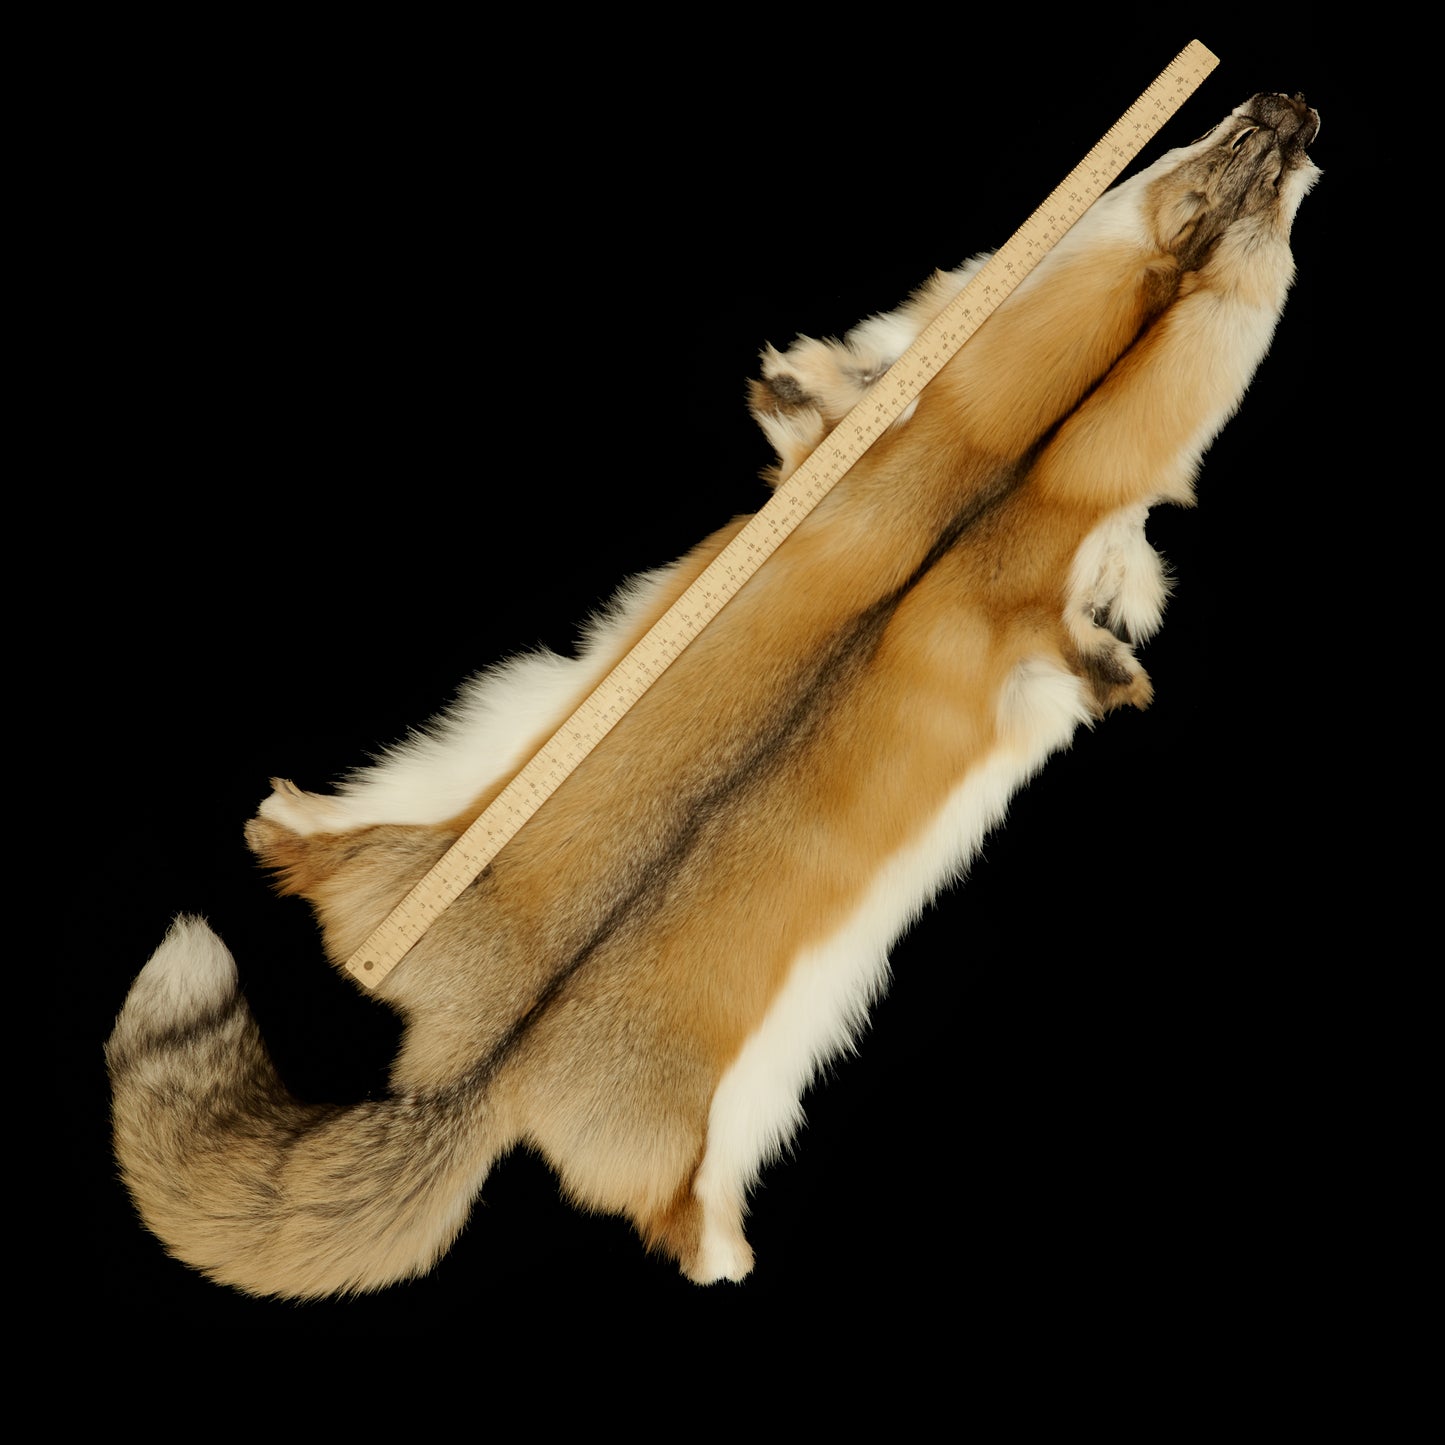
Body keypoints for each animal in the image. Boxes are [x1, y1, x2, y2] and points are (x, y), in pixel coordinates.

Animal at [107, 92, 1319, 1298]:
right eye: (1239, 171)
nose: (1291, 107)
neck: (1011, 468)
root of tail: (475, 1071)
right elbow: (1098, 618)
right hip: (715, 1124)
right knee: (679, 1223)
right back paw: (725, 1247)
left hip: (406, 836)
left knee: (300, 851)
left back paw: (288, 821)